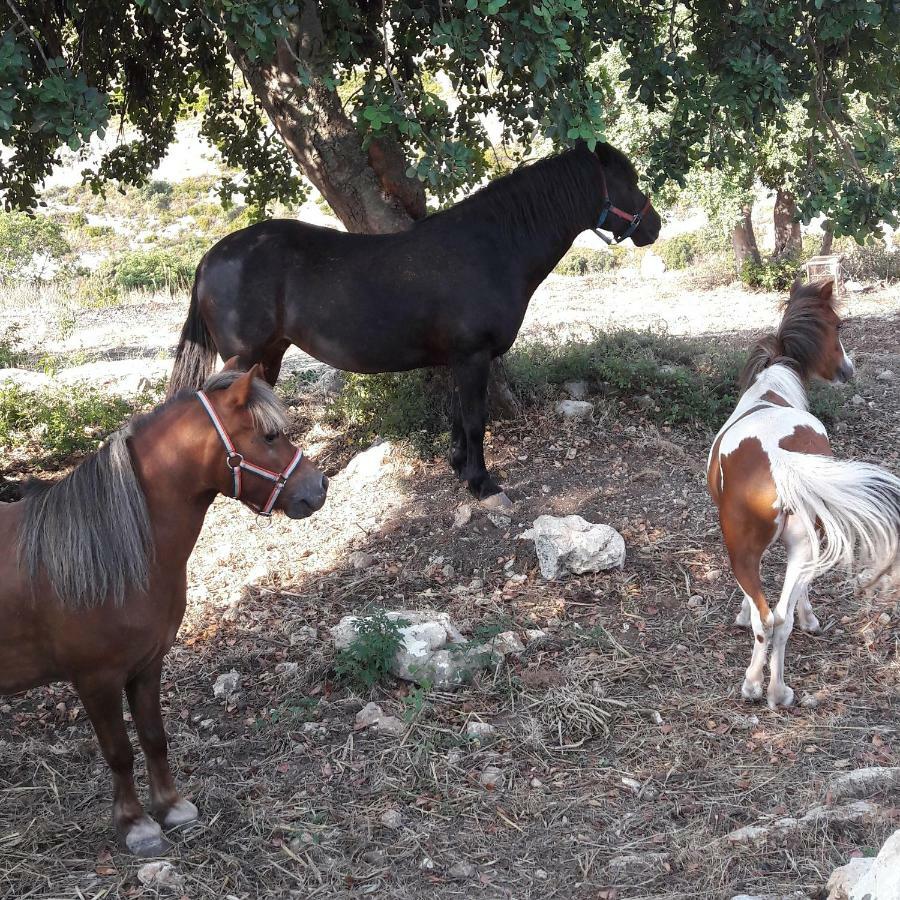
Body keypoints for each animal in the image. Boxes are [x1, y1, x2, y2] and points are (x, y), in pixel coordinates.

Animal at [712, 282, 900, 712]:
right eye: (839, 325)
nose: (848, 370)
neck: (771, 392)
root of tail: (781, 460)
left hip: (744, 551)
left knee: (769, 618)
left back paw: (754, 686)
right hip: (804, 545)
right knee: (780, 621)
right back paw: (779, 693)